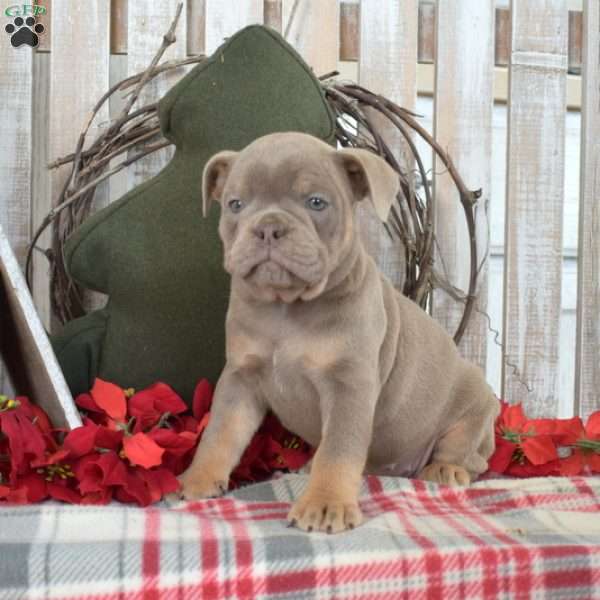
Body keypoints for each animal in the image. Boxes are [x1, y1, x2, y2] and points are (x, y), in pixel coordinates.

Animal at [176, 132, 500, 536]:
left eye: (316, 202)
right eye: (236, 204)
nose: (268, 227)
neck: (286, 307)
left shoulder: (348, 384)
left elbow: (339, 450)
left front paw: (325, 503)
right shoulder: (240, 378)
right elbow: (220, 432)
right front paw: (198, 479)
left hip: (475, 405)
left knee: (470, 454)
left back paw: (446, 468)